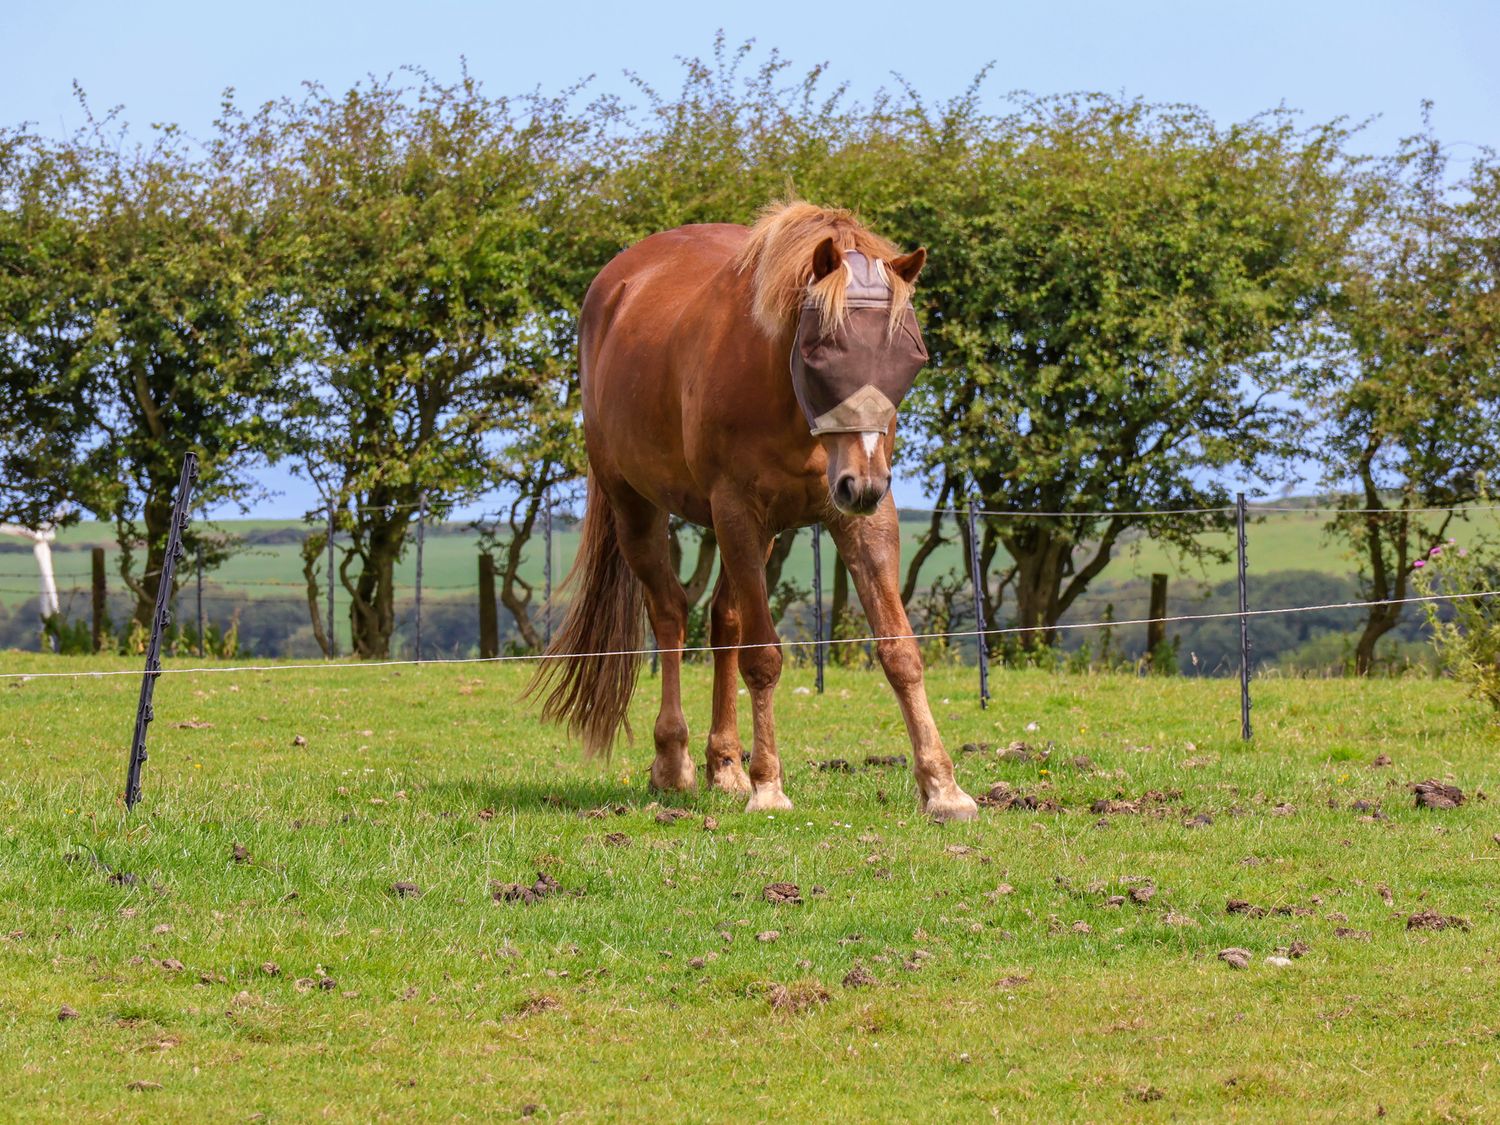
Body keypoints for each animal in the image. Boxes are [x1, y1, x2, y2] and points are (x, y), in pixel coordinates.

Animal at [531, 201, 984, 828]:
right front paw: (768, 786)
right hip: (636, 508)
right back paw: (673, 762)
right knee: (670, 614)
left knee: (724, 621)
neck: (787, 400)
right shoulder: (739, 512)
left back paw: (724, 765)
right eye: (824, 351)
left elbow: (900, 651)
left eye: (910, 356)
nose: (863, 484)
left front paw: (943, 787)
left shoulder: (862, 519)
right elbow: (764, 659)